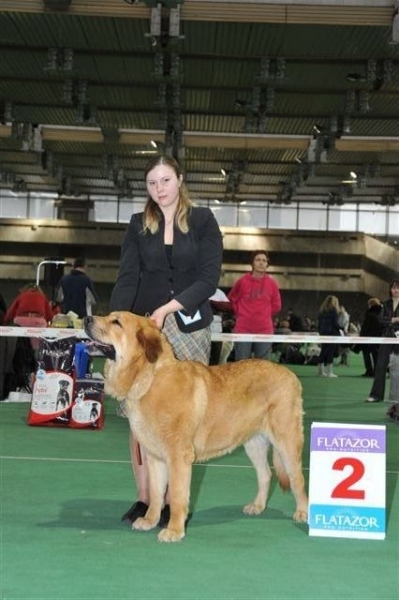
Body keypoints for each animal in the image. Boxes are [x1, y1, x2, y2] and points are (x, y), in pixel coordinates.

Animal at [83, 312, 310, 540]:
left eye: (116, 322)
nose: (87, 319)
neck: (150, 379)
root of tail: (290, 375)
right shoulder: (155, 457)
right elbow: (156, 493)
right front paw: (149, 520)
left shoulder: (178, 456)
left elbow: (176, 495)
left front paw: (174, 530)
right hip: (254, 443)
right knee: (265, 475)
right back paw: (257, 507)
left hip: (287, 442)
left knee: (297, 479)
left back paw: (303, 513)